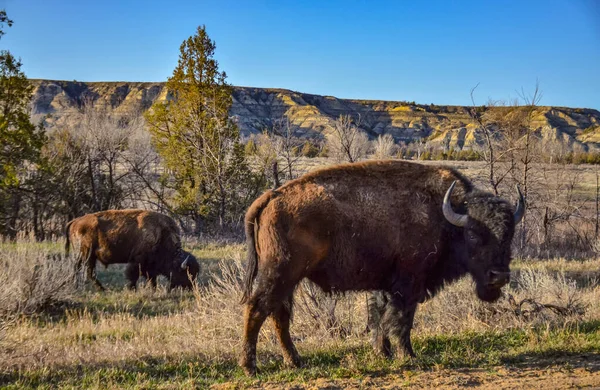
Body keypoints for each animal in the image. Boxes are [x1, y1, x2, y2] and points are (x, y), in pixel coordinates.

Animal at [65, 209, 199, 290]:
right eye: (186, 272)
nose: (192, 287)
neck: (161, 235)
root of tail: (75, 221)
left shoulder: (150, 266)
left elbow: (151, 278)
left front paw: (152, 289)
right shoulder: (137, 261)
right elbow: (134, 275)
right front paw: (132, 289)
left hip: (86, 256)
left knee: (82, 270)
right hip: (86, 255)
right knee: (85, 271)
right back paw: (98, 288)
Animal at [237, 159, 524, 374]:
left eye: (510, 234)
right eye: (473, 234)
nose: (499, 276)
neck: (444, 216)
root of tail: (270, 196)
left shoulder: (384, 284)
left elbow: (379, 317)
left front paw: (383, 353)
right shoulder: (408, 284)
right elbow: (401, 319)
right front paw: (408, 355)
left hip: (289, 279)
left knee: (279, 315)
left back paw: (295, 361)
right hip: (280, 275)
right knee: (257, 309)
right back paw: (250, 367)